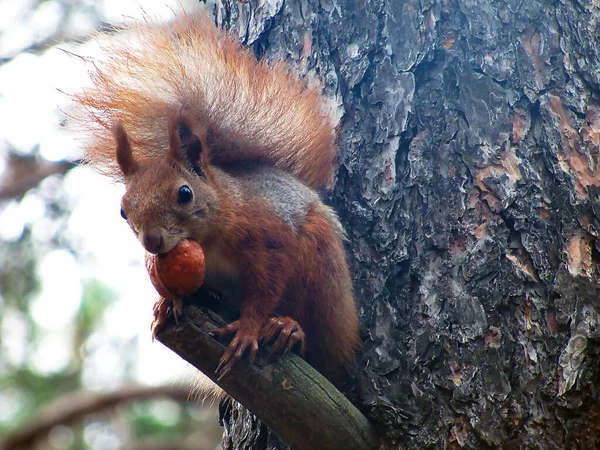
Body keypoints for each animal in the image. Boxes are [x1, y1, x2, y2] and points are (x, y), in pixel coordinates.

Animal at [71, 12, 360, 382]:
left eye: (185, 193)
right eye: (123, 211)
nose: (152, 241)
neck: (209, 236)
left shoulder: (268, 233)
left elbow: (267, 286)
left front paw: (248, 330)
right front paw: (167, 303)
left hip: (321, 271)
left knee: (320, 347)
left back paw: (289, 330)